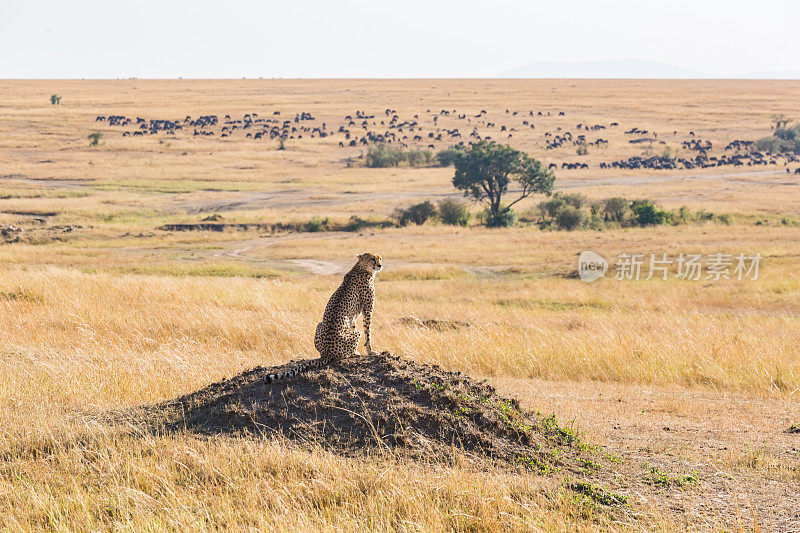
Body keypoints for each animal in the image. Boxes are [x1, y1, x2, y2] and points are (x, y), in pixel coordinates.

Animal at [266, 251, 384, 380]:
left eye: (380, 258)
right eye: (372, 259)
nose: (380, 265)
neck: (361, 268)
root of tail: (326, 352)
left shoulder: (353, 316)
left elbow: (353, 326)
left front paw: (360, 350)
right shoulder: (367, 310)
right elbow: (368, 333)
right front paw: (370, 351)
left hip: (319, 325)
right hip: (356, 334)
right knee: (346, 350)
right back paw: (352, 354)